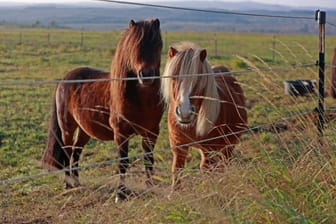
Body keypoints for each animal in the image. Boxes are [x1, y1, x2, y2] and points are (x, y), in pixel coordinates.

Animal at [41, 18, 165, 201]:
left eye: (157, 43)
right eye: (133, 45)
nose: (147, 75)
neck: (142, 100)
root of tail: (64, 79)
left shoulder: (151, 133)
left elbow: (148, 160)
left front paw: (150, 188)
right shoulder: (121, 133)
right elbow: (123, 162)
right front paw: (120, 194)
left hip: (84, 129)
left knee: (76, 152)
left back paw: (76, 183)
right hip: (67, 127)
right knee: (67, 151)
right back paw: (68, 184)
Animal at [161, 41, 248, 187]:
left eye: (198, 79)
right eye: (173, 77)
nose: (185, 112)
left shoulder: (210, 151)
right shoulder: (179, 148)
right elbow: (177, 173)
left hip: (228, 145)